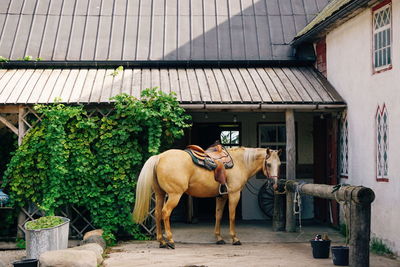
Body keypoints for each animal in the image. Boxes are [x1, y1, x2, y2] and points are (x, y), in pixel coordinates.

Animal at [132, 147, 282, 249]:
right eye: (268, 164)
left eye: (280, 164)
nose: (274, 184)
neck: (239, 163)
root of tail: (160, 157)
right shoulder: (234, 194)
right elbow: (232, 216)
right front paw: (234, 238)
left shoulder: (221, 197)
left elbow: (218, 216)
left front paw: (219, 238)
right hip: (174, 195)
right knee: (165, 213)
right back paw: (171, 241)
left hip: (160, 194)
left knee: (157, 213)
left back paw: (162, 242)